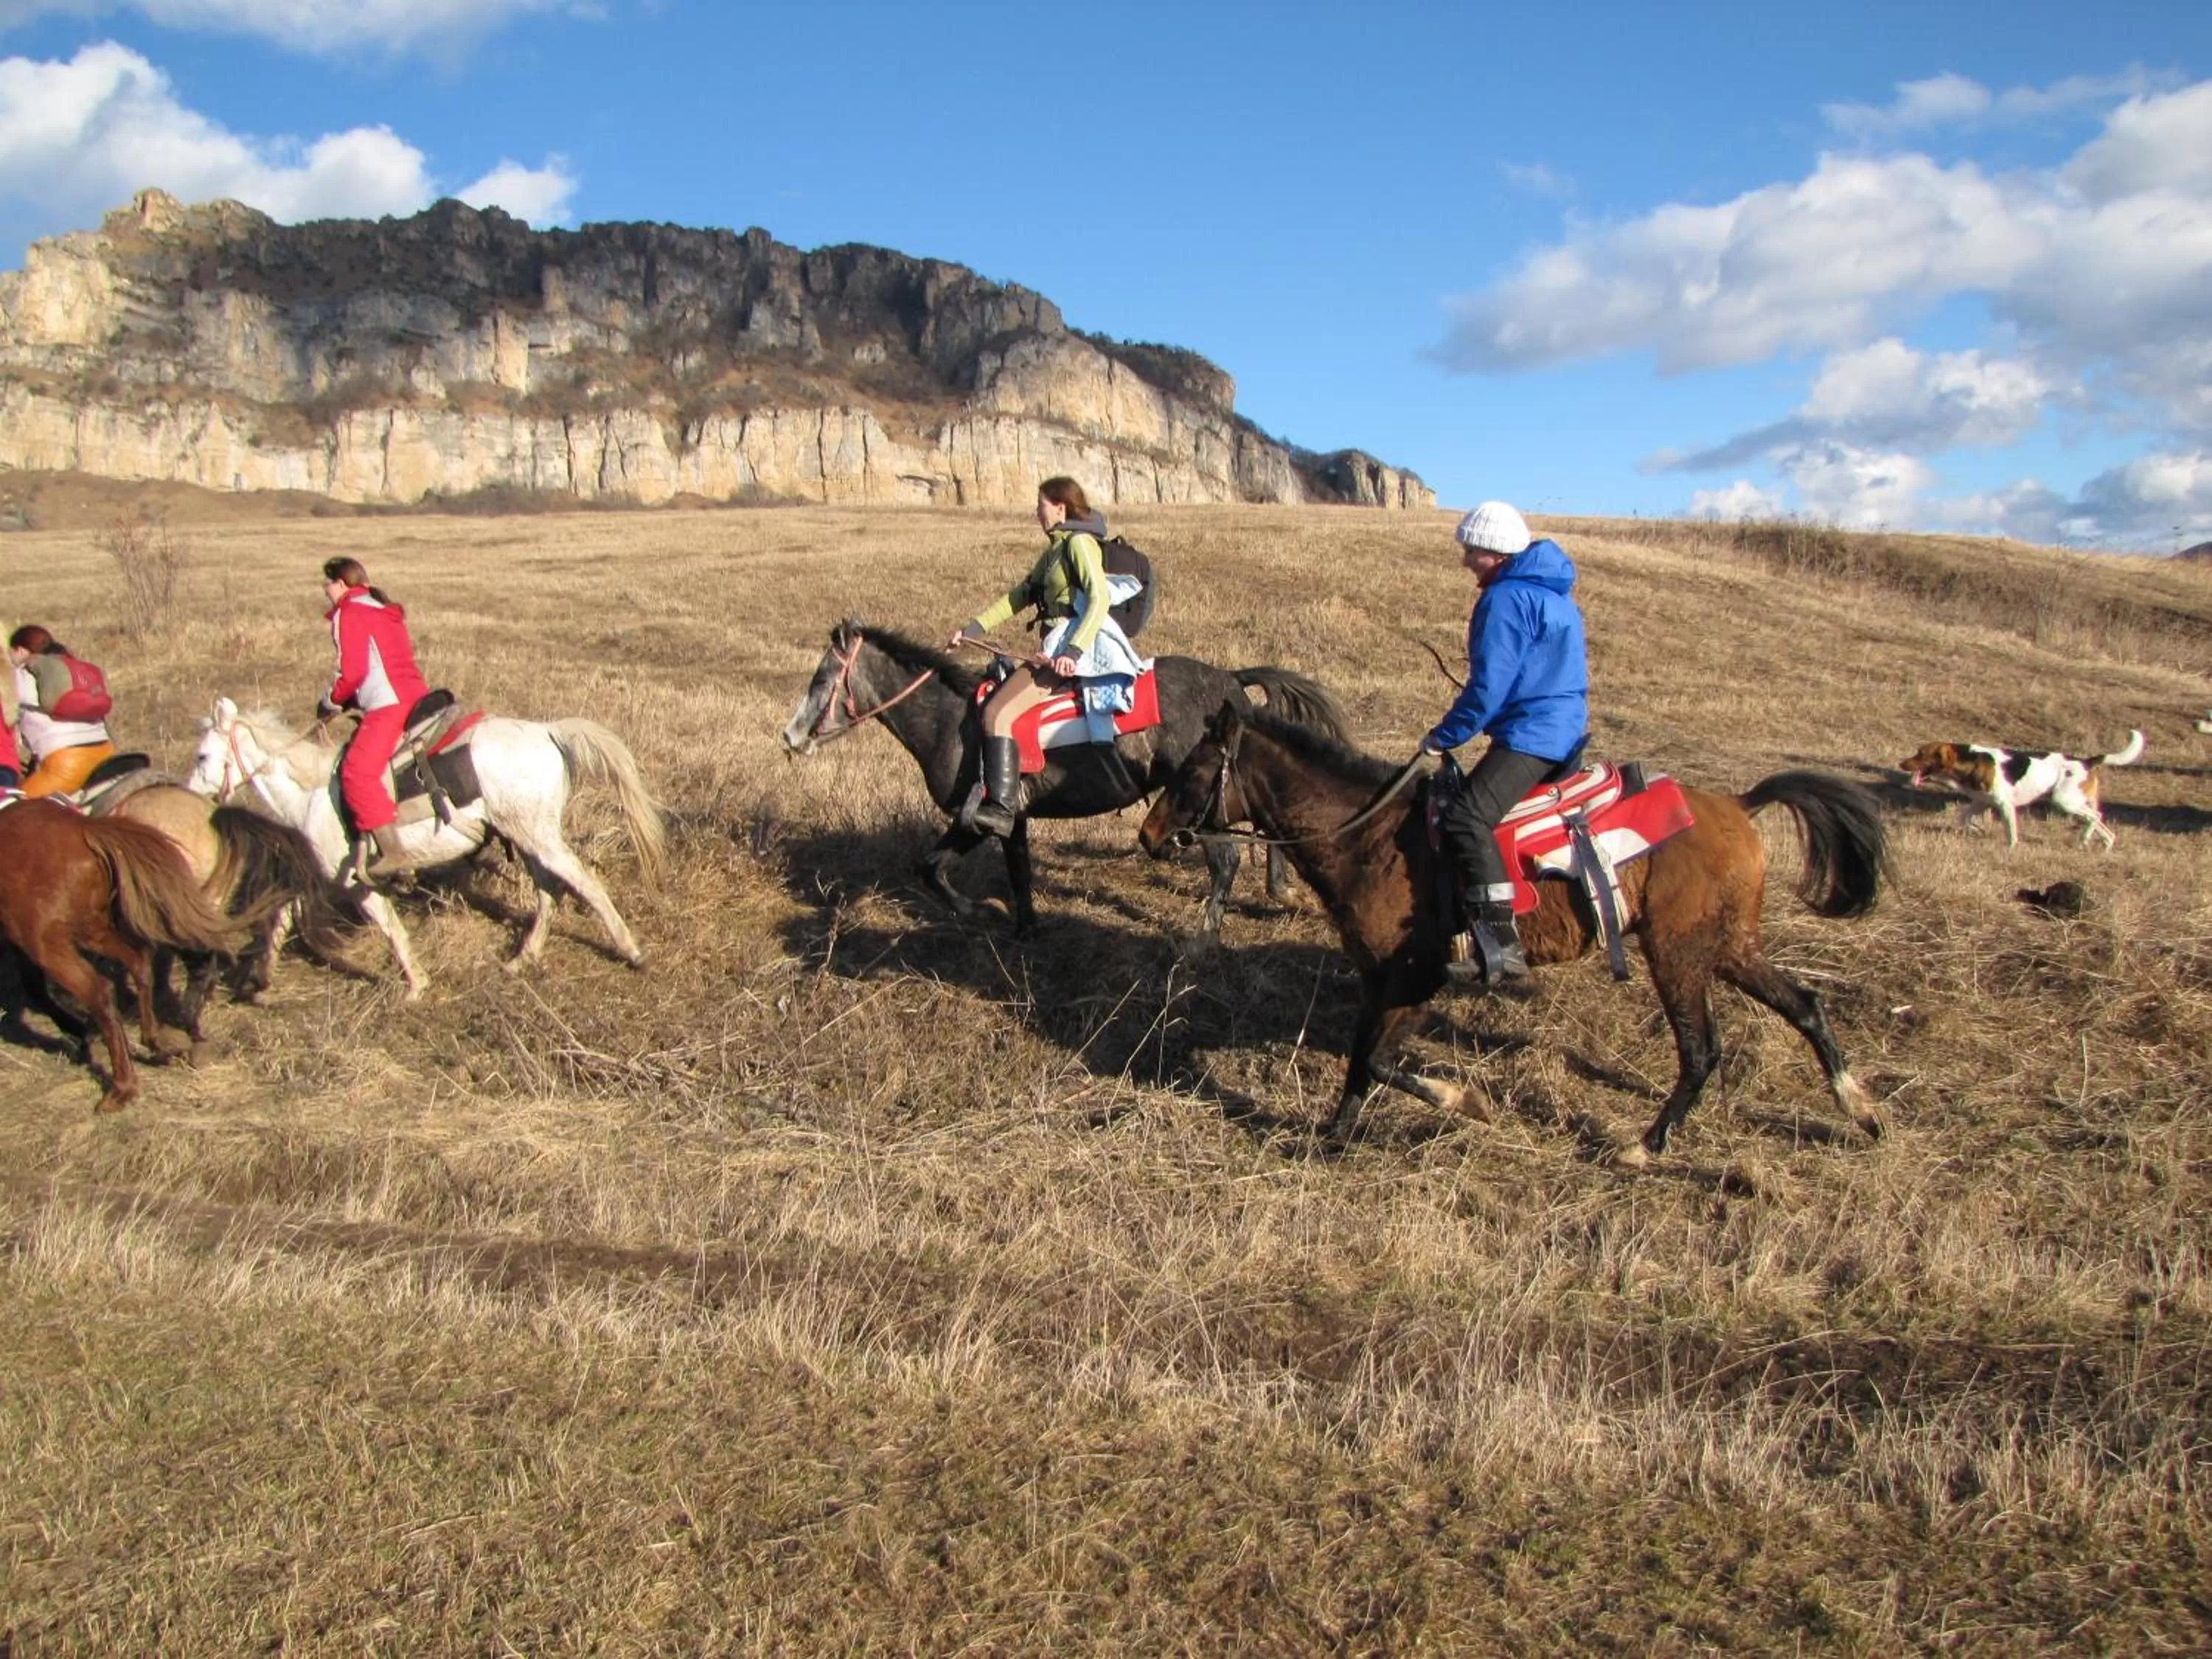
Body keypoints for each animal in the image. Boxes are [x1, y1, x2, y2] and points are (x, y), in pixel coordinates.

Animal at [0, 800, 269, 1111]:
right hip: (86, 930)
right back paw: (157, 1041)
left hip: (49, 944)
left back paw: (122, 1087)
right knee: (139, 961)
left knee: (100, 991)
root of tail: (86, 829)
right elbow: (36, 991)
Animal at [185, 698, 668, 999]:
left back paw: (632, 952)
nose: (190, 794)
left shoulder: (356, 883)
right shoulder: (314, 877)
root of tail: (548, 731)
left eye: (203, 756)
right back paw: (521, 959)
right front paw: (260, 979)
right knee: (550, 892)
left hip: (539, 837)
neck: (311, 793)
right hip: (528, 838)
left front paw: (416, 985)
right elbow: (279, 918)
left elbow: (389, 927)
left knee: (585, 884)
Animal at [781, 619, 1349, 937]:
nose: (790, 736)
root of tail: (1230, 679)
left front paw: (984, 911)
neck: (951, 719)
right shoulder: (1011, 820)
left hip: (1201, 804)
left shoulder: (979, 817)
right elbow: (1005, 872)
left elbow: (936, 868)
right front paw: (1021, 926)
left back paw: (1203, 939)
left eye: (821, 680)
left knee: (1227, 860)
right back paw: (1280, 890)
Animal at [1140, 704, 1889, 1161]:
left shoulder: (1418, 976)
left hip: (1677, 953)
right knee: (1806, 1005)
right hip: (1728, 947)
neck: (1371, 838)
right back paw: (1860, 1109)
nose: (1148, 835)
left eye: (1195, 771)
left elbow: (1380, 1061)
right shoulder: (1380, 977)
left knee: (1702, 1051)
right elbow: (1360, 1059)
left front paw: (1465, 1102)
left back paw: (1646, 1147)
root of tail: (1736, 806)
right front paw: (1334, 1139)